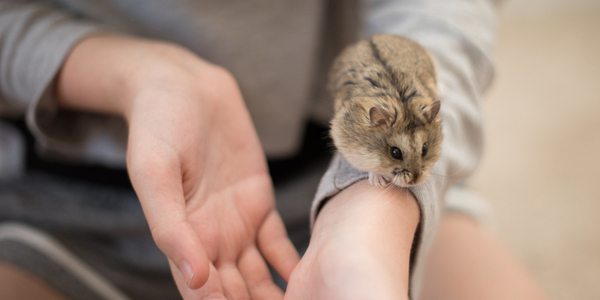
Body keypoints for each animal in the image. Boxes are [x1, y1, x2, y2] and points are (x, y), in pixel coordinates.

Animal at [326, 35, 442, 188]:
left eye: (425, 149)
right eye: (395, 153)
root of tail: (369, 38)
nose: (414, 181)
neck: (402, 104)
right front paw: (378, 182)